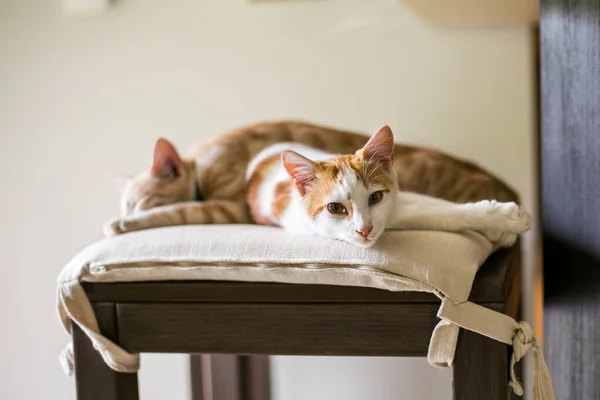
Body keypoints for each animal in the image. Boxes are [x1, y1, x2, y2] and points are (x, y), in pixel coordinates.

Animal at [103, 120, 516, 236]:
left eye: (141, 201)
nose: (125, 214)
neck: (202, 164)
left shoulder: (230, 204)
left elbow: (181, 211)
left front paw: (122, 225)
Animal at [244, 126, 528, 248]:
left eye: (375, 197)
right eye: (335, 208)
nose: (364, 230)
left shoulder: (398, 199)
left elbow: (439, 208)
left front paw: (498, 225)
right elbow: (436, 215)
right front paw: (505, 220)